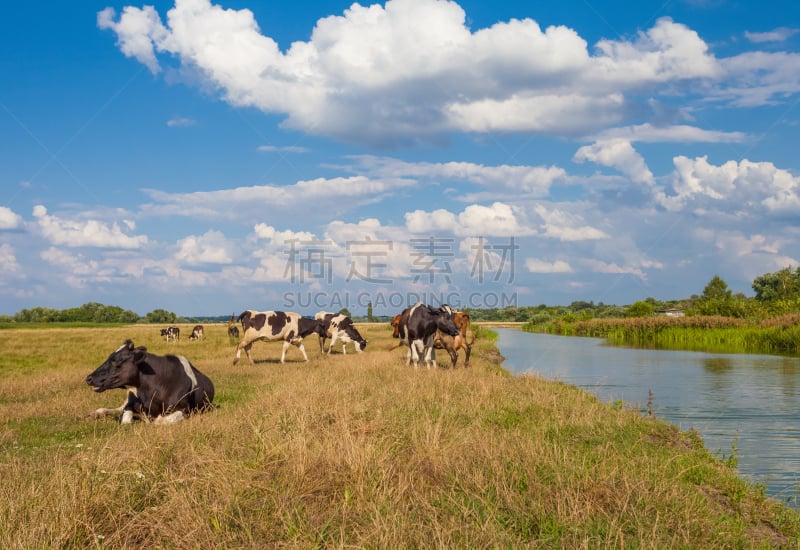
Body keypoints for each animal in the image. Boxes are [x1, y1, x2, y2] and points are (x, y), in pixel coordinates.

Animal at [86, 340, 214, 426]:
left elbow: (158, 421)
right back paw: (96, 413)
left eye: (117, 361)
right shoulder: (132, 402)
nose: (88, 378)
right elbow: (126, 419)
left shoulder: (184, 410)